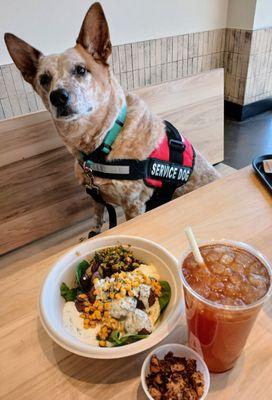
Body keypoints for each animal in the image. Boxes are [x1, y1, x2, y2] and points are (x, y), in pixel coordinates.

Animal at [4, 1, 219, 234]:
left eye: (81, 70)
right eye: (44, 79)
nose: (58, 97)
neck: (103, 141)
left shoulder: (134, 204)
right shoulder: (95, 196)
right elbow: (97, 219)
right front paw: (93, 233)